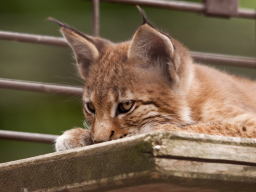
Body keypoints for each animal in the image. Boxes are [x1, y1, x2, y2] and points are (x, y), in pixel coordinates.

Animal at [49, 7, 256, 152]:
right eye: (91, 107)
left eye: (126, 106)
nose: (99, 141)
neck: (194, 104)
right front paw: (78, 135)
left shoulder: (249, 122)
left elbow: (215, 126)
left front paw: (156, 128)